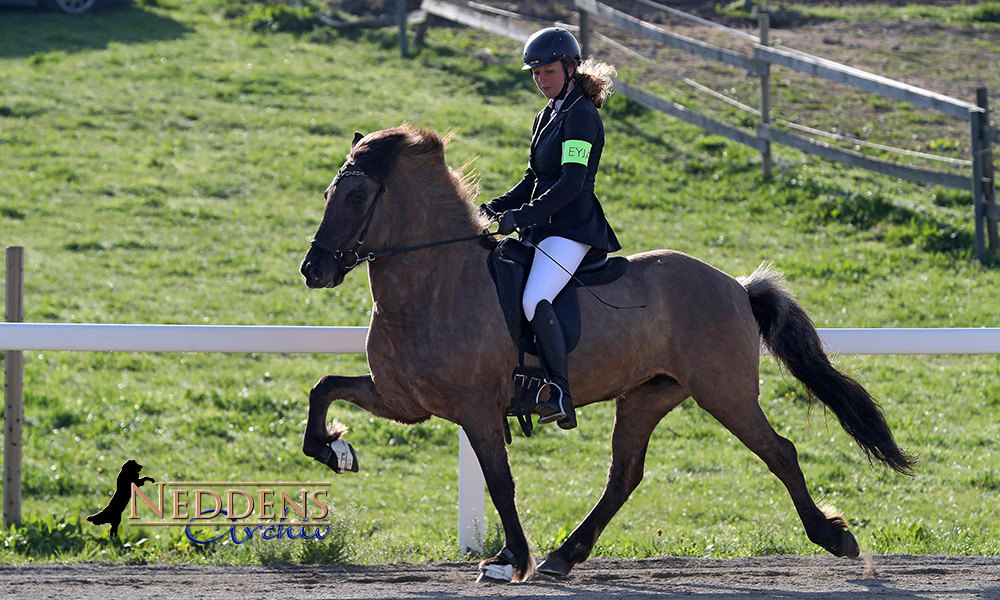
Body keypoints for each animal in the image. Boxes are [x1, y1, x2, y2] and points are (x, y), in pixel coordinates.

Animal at [294, 125, 916, 580]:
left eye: (355, 195)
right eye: (326, 194)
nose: (313, 270)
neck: (435, 283)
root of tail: (737, 287)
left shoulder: (475, 409)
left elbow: (500, 482)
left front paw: (510, 560)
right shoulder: (404, 401)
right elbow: (324, 389)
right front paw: (335, 451)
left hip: (725, 393)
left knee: (779, 452)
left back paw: (834, 537)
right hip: (648, 395)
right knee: (625, 475)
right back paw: (563, 556)